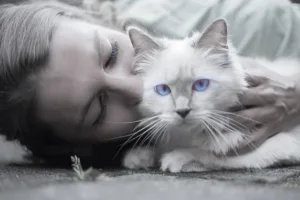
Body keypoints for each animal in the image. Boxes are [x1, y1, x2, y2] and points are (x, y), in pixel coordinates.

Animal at [120, 19, 300, 172]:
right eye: (163, 89)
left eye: (201, 85)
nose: (182, 111)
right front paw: (139, 157)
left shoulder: (276, 145)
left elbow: (214, 155)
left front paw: (176, 158)